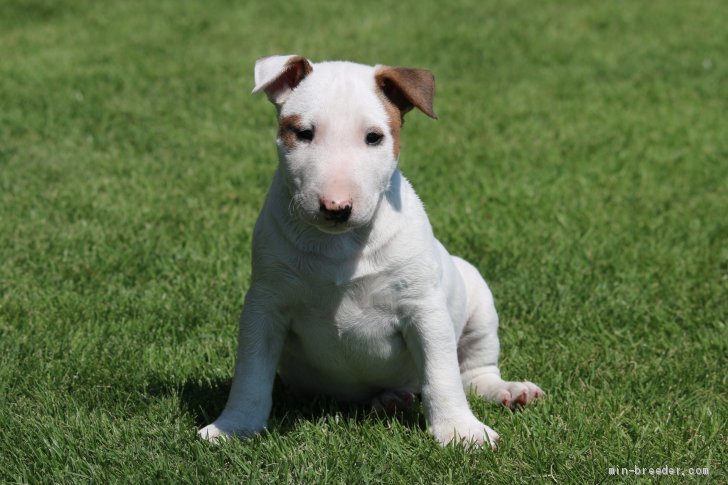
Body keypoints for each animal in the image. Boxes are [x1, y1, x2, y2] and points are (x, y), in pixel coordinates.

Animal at [198, 55, 540, 446]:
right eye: (303, 133)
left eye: (374, 137)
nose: (336, 207)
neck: (340, 243)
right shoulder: (265, 303)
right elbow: (251, 373)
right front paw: (233, 426)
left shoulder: (424, 308)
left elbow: (442, 374)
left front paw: (460, 431)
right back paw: (390, 400)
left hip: (477, 298)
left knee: (474, 372)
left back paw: (508, 391)